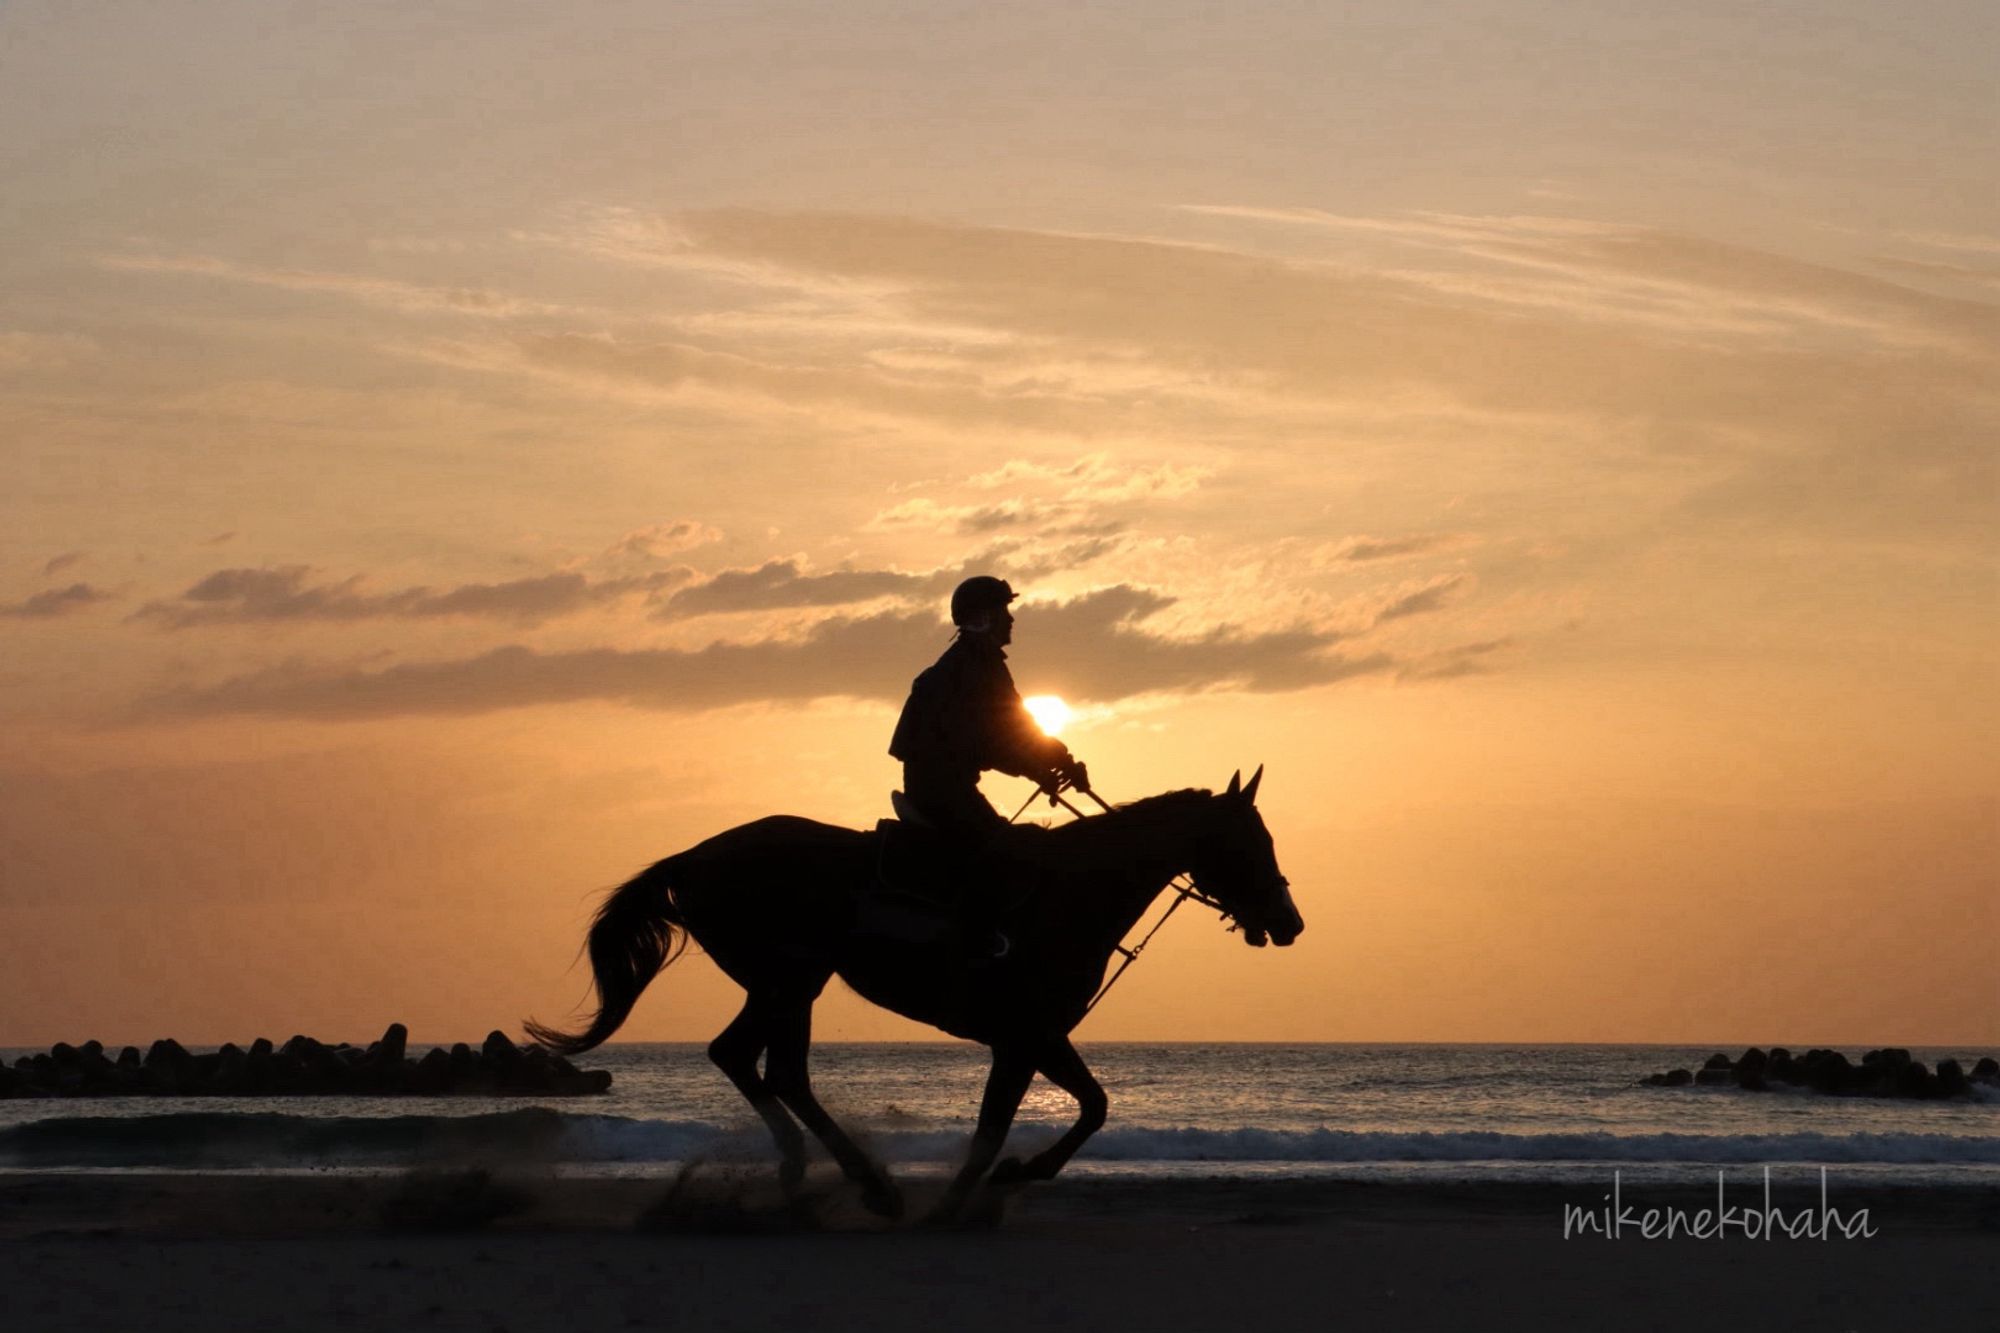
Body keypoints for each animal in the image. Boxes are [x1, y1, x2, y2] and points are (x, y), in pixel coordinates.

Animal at [528, 768, 1296, 1216]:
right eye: (1250, 842)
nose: (1290, 923)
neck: (1074, 891)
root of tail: (692, 858)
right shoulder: (1025, 1037)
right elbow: (1009, 1125)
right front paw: (977, 1192)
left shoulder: (1039, 1038)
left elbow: (1087, 1107)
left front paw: (1012, 1176)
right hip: (790, 980)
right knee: (767, 1066)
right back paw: (863, 1183)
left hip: (786, 984)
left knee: (755, 1062)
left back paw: (815, 1171)